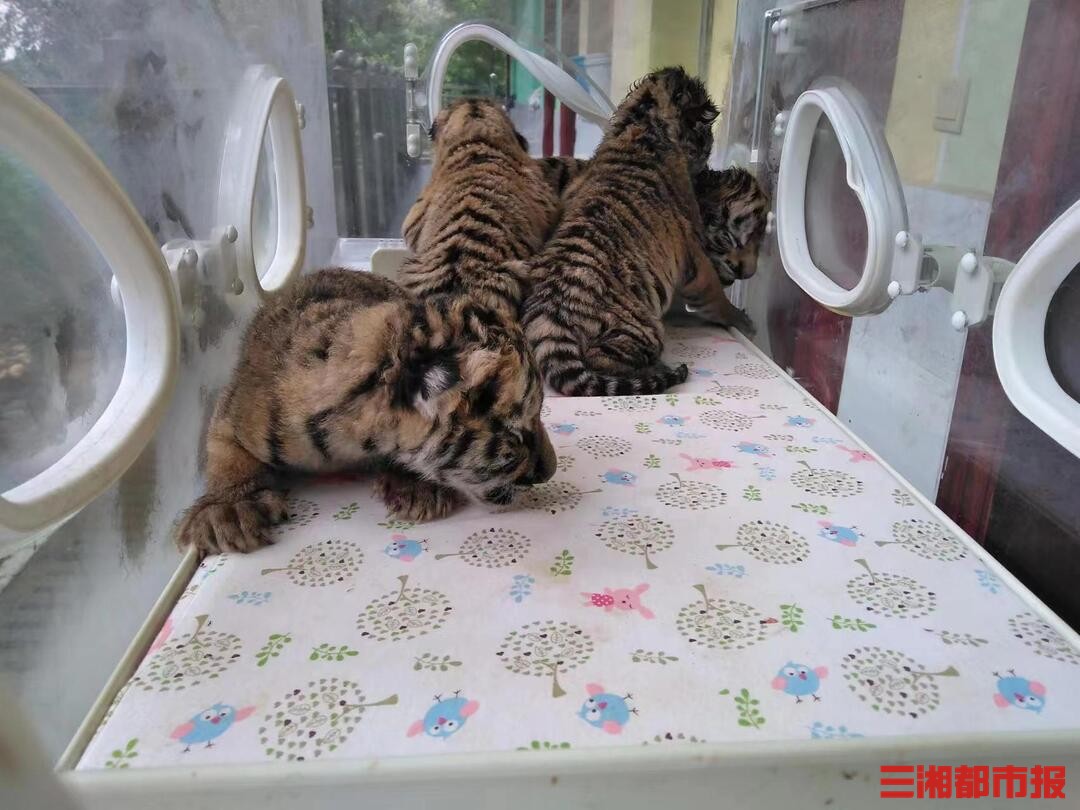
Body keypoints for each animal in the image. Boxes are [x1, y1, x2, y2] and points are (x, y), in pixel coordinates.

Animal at [175, 269, 556, 555]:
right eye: (517, 435)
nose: (550, 471)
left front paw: (415, 488)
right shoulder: (234, 411)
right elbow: (226, 455)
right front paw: (229, 510)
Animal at [521, 66, 754, 396]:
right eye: (706, 131)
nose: (709, 148)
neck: (642, 120)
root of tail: (549, 316)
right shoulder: (694, 249)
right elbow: (714, 293)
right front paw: (740, 318)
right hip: (643, 328)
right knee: (602, 358)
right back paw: (660, 370)